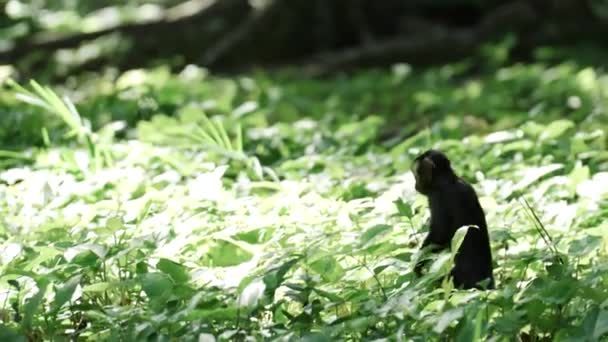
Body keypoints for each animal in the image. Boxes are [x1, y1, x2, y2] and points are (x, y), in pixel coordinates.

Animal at [414, 149, 494, 288]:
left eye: (418, 174)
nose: (415, 184)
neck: (450, 181)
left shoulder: (437, 197)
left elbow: (440, 234)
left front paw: (419, 263)